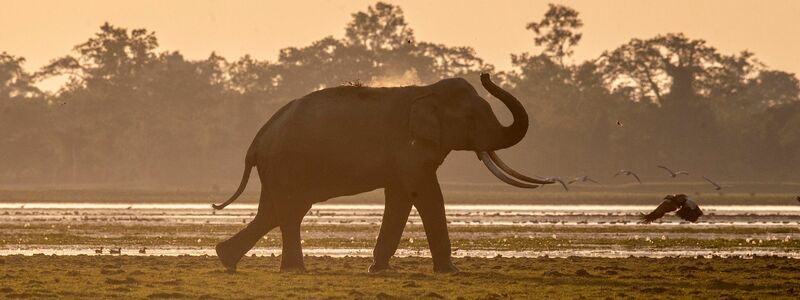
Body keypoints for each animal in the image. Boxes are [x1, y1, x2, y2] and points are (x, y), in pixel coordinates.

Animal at [212, 72, 556, 272]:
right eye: (472, 119)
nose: (485, 73)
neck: (426, 91)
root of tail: (258, 139)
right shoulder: (409, 149)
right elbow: (425, 192)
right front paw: (451, 272)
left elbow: (401, 195)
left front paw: (378, 269)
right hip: (288, 164)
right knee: (290, 210)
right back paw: (291, 269)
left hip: (279, 167)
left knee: (274, 212)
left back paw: (227, 259)